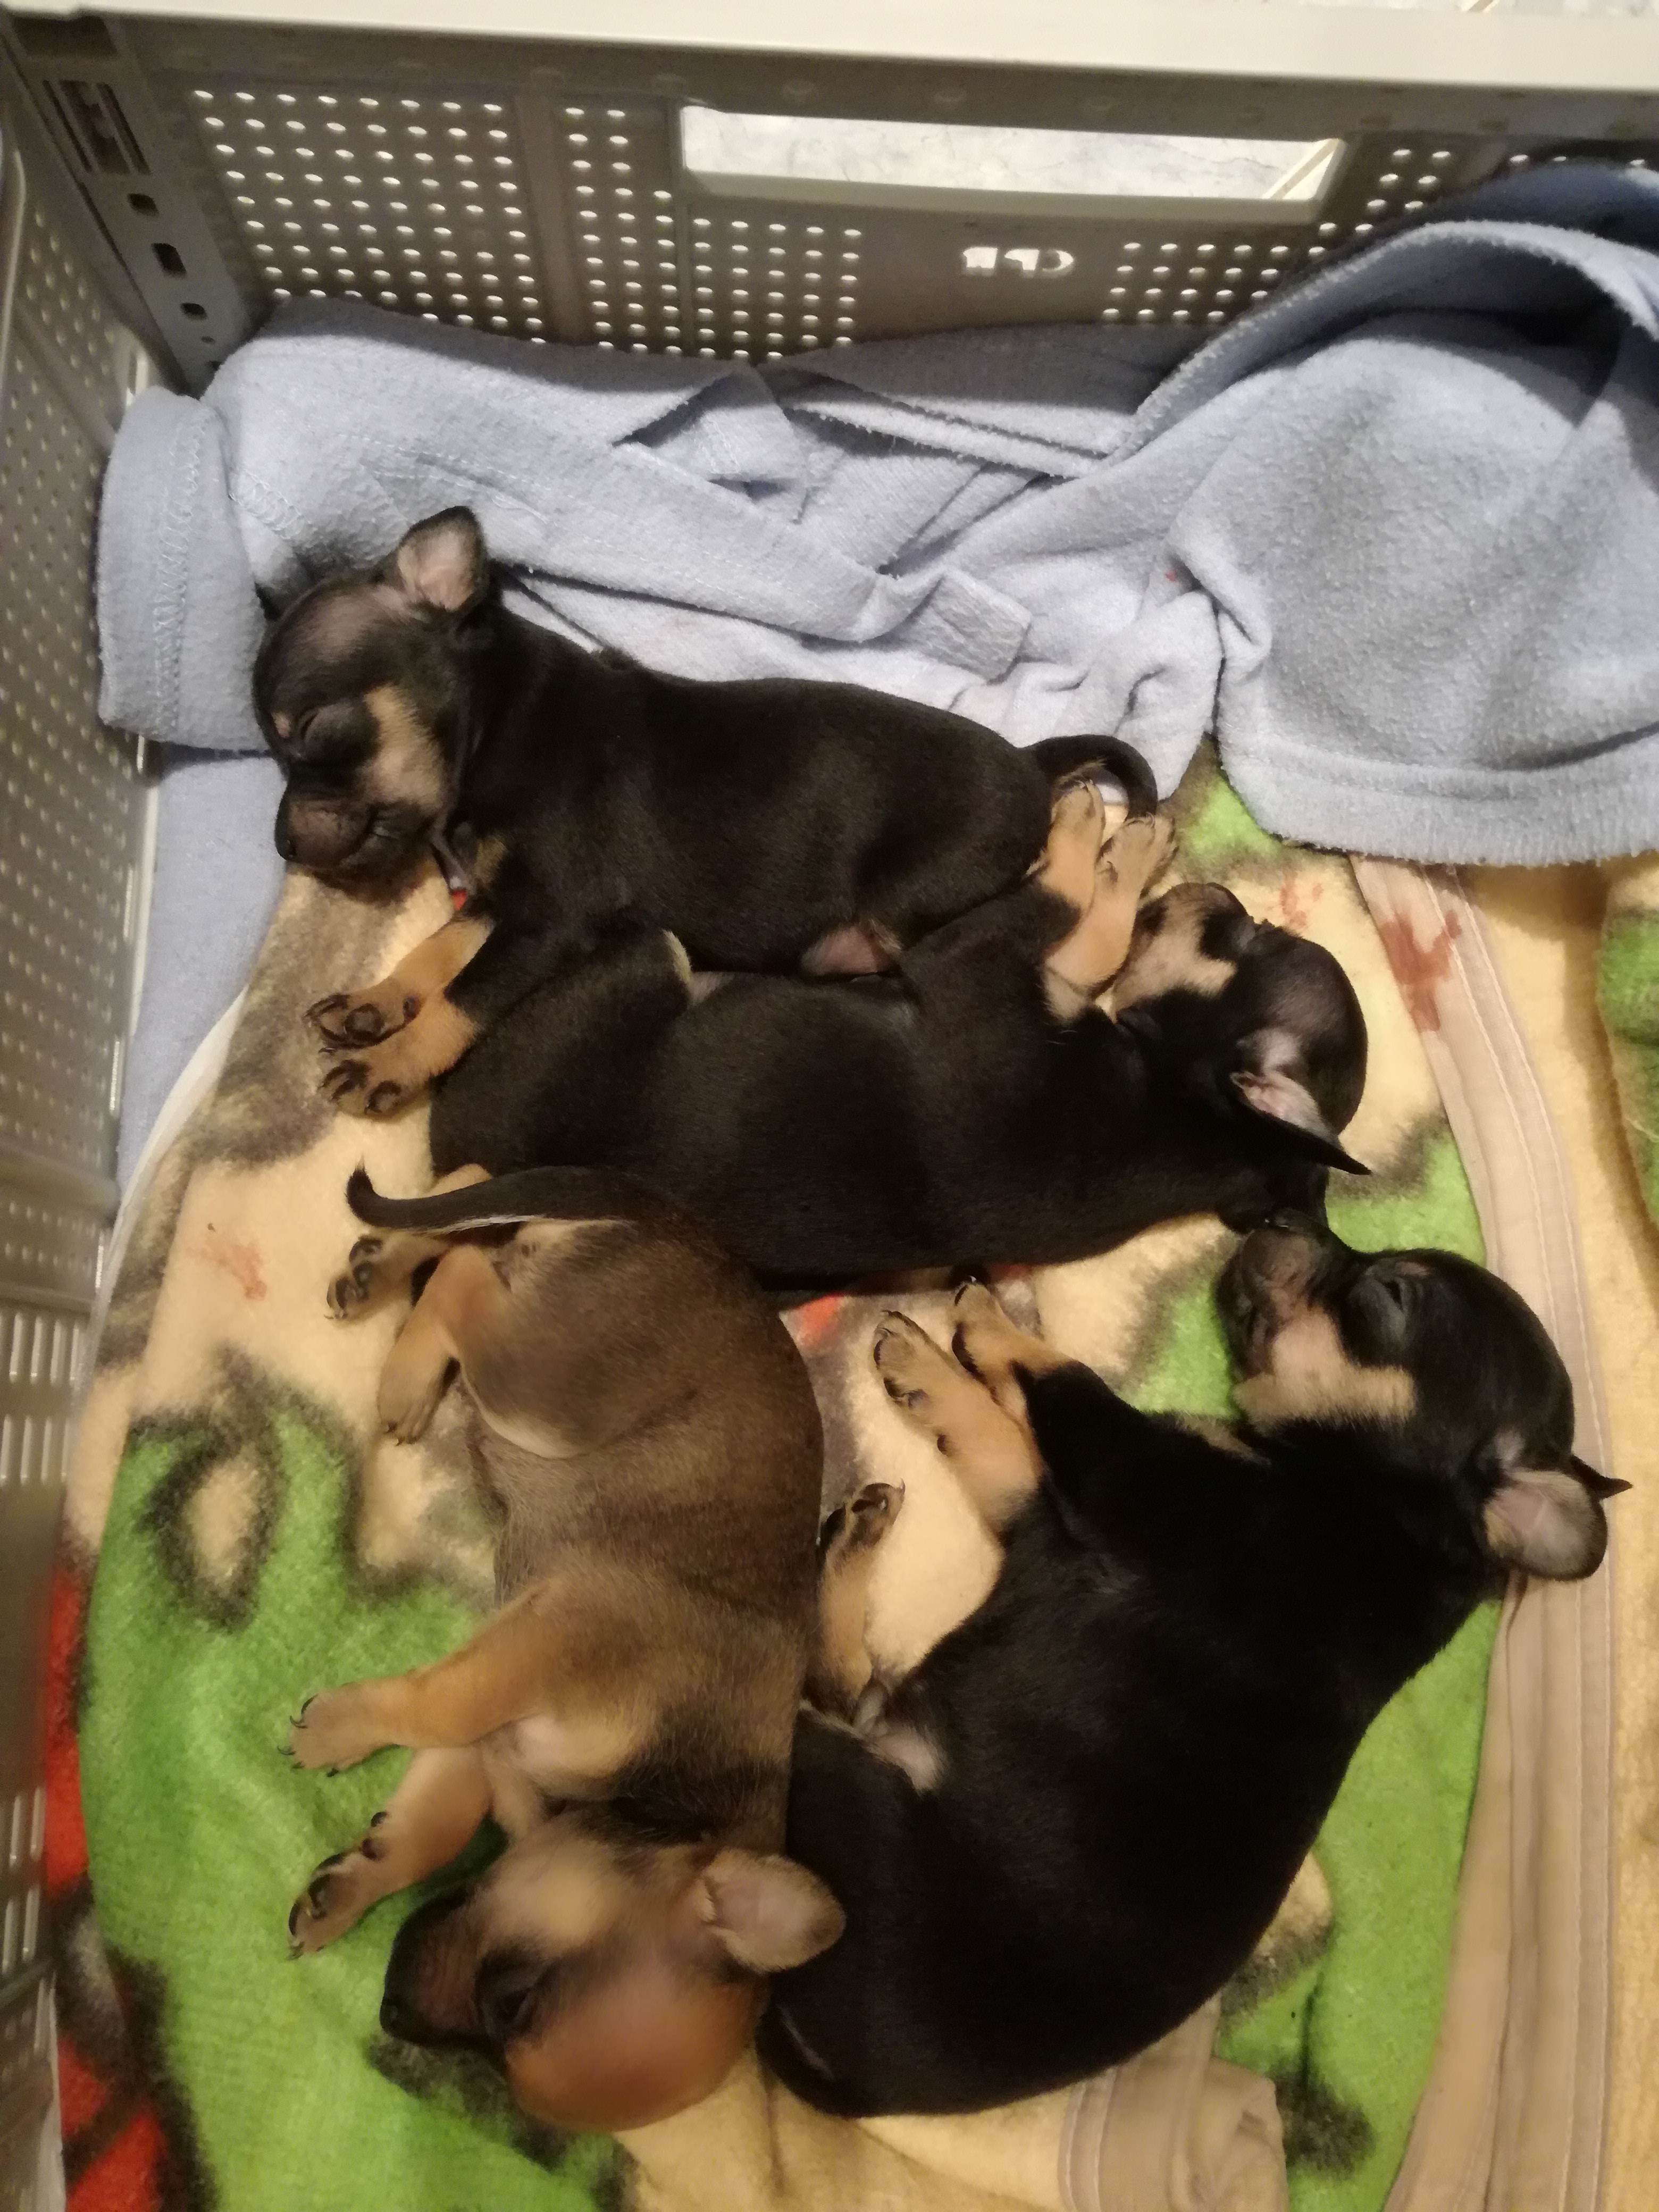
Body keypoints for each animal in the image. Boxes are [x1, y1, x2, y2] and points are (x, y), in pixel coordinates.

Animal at [253, 506, 1154, 1116]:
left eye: (316, 731)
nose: (283, 843)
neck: (493, 724)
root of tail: (1030, 763)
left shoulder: (549, 921)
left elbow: (461, 1000)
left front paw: (392, 1061)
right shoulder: (506, 907)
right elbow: (437, 954)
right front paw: (376, 1002)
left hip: (916, 904)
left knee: (1071, 944)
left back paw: (1099, 839)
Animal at [284, 1165, 842, 2130]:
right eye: (516, 2000)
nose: (391, 2011)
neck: (653, 1801)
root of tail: (683, 1230)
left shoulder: (503, 1719)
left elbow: (435, 1809)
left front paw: (353, 1884)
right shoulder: (552, 1641)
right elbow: (437, 1702)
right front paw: (340, 1731)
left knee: (476, 1210)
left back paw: (385, 1276)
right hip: (543, 1386)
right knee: (470, 1261)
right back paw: (406, 1360)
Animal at [389, 783, 1368, 1287]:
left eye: (1249, 939)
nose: (1221, 892)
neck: (1183, 1116)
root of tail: (454, 1142)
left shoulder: (962, 966)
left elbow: (1072, 906)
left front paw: (1097, 834)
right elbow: (1094, 935)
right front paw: (1130, 841)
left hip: (650, 953)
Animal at [753, 1223, 1625, 2116]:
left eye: (1391, 1295)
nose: (1283, 1222)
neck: (1365, 1496)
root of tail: (849, 2085)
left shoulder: (1121, 1476)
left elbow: (1063, 1379)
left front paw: (978, 1328)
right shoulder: (1047, 1504)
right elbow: (997, 1431)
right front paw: (938, 1361)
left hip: (843, 1795)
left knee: (800, 1705)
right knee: (840, 1682)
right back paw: (855, 1535)